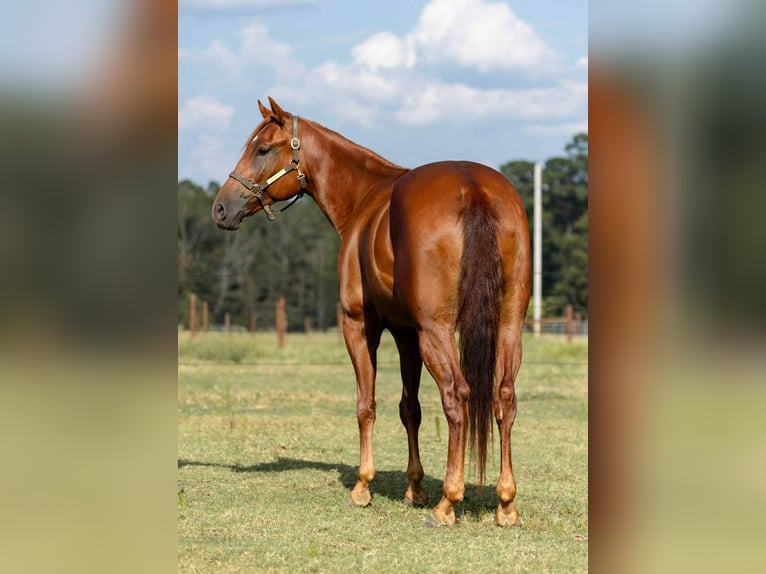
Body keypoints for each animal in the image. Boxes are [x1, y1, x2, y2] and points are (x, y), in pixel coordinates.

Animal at [212, 98, 531, 527]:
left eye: (261, 149)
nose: (220, 208)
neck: (365, 197)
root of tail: (474, 188)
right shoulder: (406, 332)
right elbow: (409, 408)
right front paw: (415, 488)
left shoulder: (361, 326)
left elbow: (366, 406)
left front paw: (363, 486)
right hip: (508, 326)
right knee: (504, 398)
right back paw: (506, 503)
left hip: (437, 333)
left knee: (457, 395)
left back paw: (447, 502)